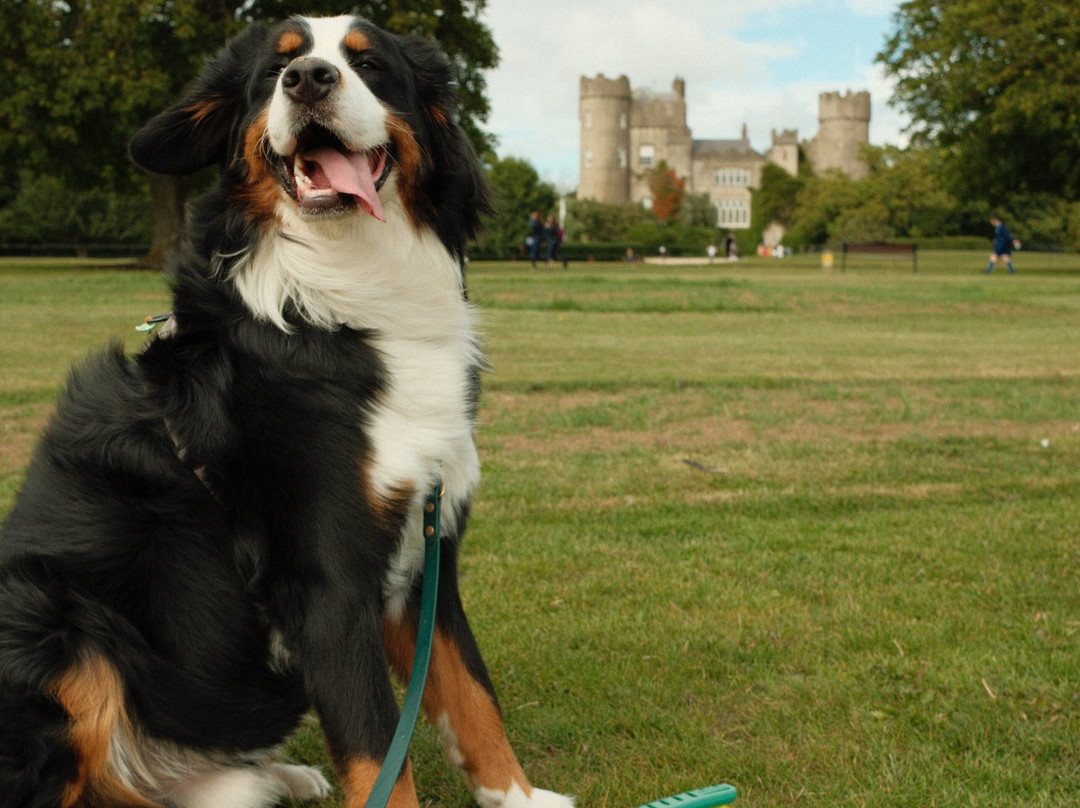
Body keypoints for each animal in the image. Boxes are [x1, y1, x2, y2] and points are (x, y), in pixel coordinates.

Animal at [0, 15, 574, 808]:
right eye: (276, 71)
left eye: (369, 64)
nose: (308, 80)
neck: (347, 298)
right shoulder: (327, 582)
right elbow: (380, 752)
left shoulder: (426, 559)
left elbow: (471, 693)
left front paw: (517, 795)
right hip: (58, 630)